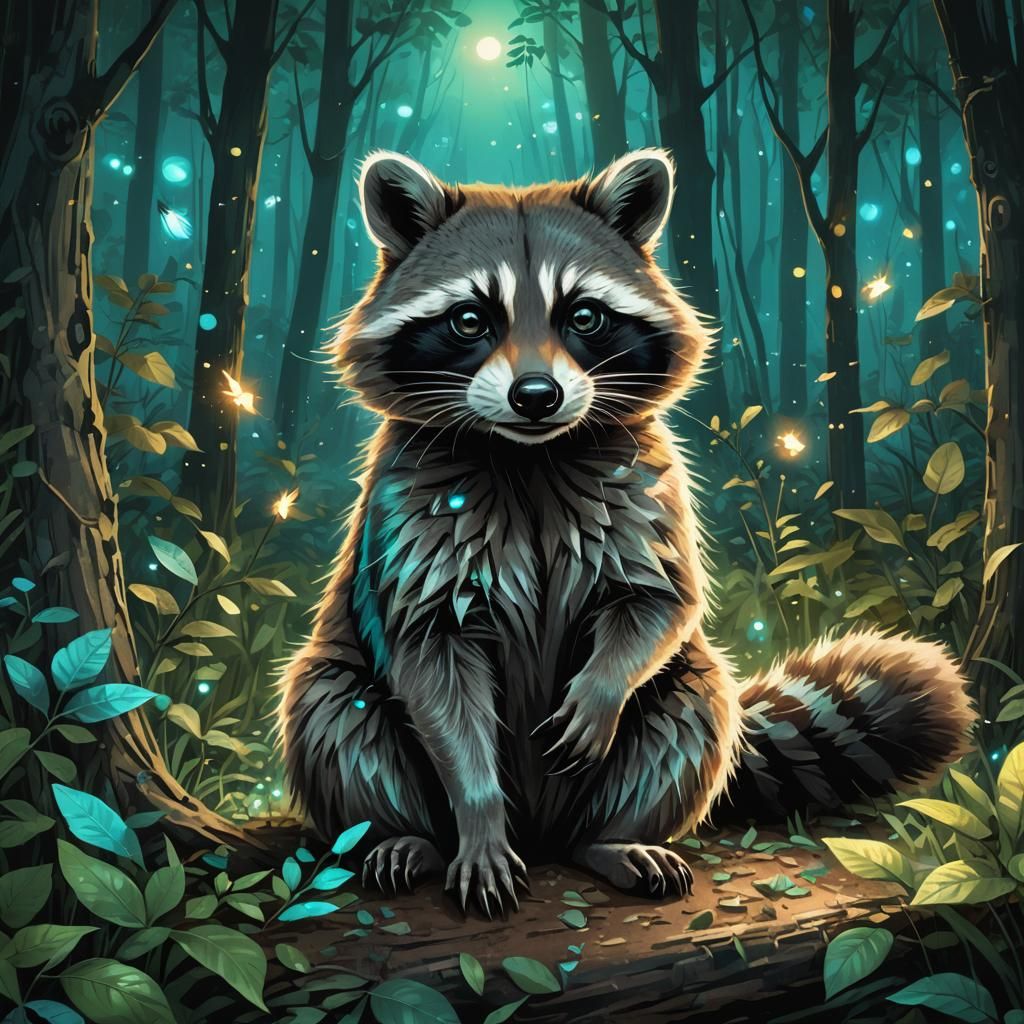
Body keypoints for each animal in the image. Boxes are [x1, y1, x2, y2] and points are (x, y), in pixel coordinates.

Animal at [278, 149, 972, 914]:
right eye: (468, 320)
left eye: (584, 315)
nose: (536, 395)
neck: (529, 454)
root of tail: (542, 832)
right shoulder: (414, 508)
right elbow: (434, 663)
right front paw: (478, 815)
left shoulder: (645, 484)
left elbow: (660, 601)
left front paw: (603, 688)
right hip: (342, 689)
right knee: (334, 711)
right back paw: (405, 835)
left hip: (672, 712)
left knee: (694, 706)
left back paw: (612, 839)